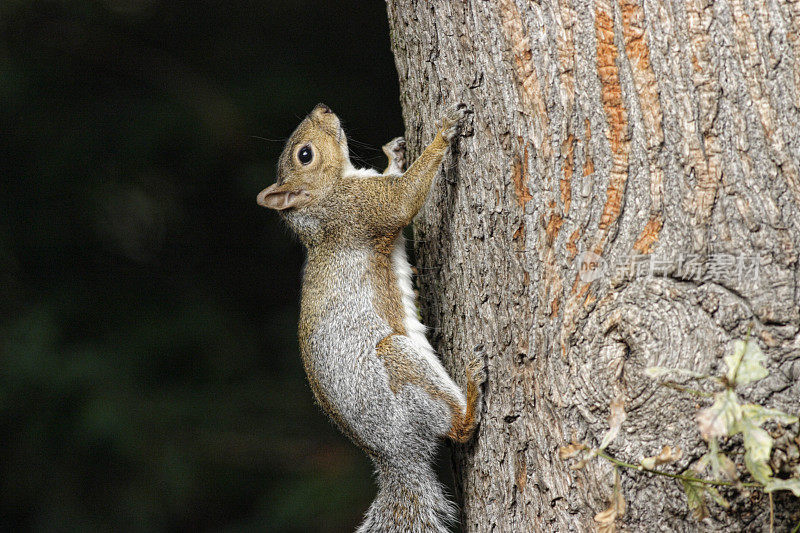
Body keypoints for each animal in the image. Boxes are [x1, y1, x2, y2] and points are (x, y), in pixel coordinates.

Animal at [260, 102, 484, 528]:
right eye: (305, 155)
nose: (322, 108)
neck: (325, 201)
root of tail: (397, 459)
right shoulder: (362, 209)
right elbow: (404, 199)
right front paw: (443, 133)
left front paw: (394, 154)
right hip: (400, 363)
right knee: (458, 430)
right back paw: (472, 392)